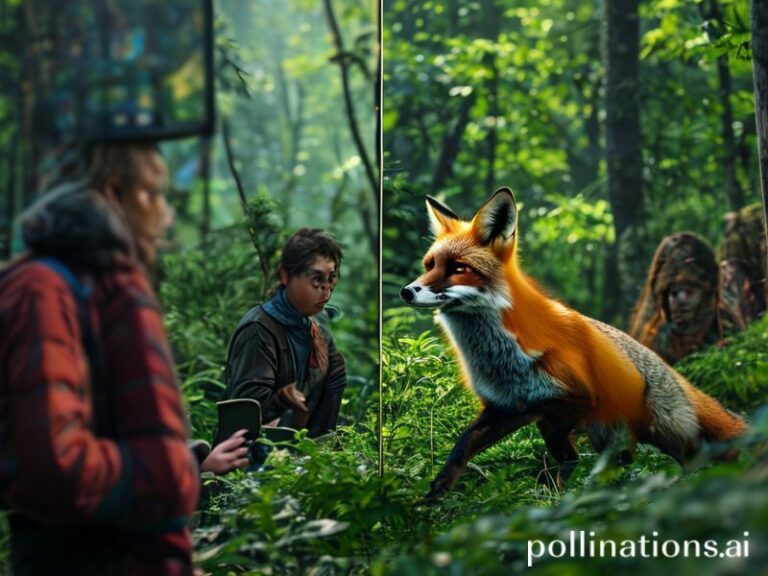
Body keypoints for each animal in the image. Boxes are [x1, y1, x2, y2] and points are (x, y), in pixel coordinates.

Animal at [400, 187, 747, 499]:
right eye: (429, 265)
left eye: (459, 268)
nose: (407, 291)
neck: (500, 359)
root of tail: (675, 376)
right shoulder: (505, 406)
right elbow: (463, 446)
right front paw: (434, 495)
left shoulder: (572, 399)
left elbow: (560, 441)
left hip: (661, 433)